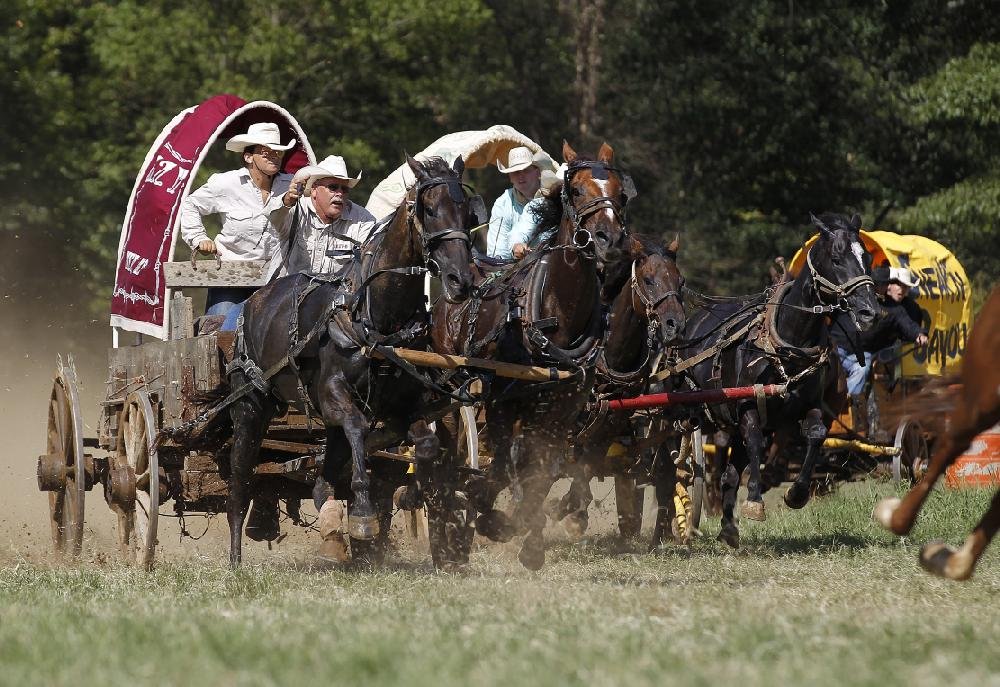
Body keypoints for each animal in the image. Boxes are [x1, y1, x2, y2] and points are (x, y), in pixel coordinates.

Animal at [227, 159, 476, 568]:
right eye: (428, 208)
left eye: (469, 213)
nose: (461, 280)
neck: (376, 317)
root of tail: (253, 302)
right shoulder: (333, 393)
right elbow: (358, 429)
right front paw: (361, 514)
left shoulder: (404, 404)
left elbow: (424, 444)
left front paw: (412, 496)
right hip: (251, 407)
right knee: (240, 477)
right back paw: (235, 558)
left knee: (327, 463)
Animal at [432, 140, 632, 568]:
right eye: (576, 190)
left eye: (621, 194)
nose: (609, 240)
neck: (558, 309)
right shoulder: (504, 401)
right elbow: (506, 462)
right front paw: (493, 519)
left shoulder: (564, 407)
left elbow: (544, 465)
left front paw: (532, 542)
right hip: (451, 394)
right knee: (448, 453)